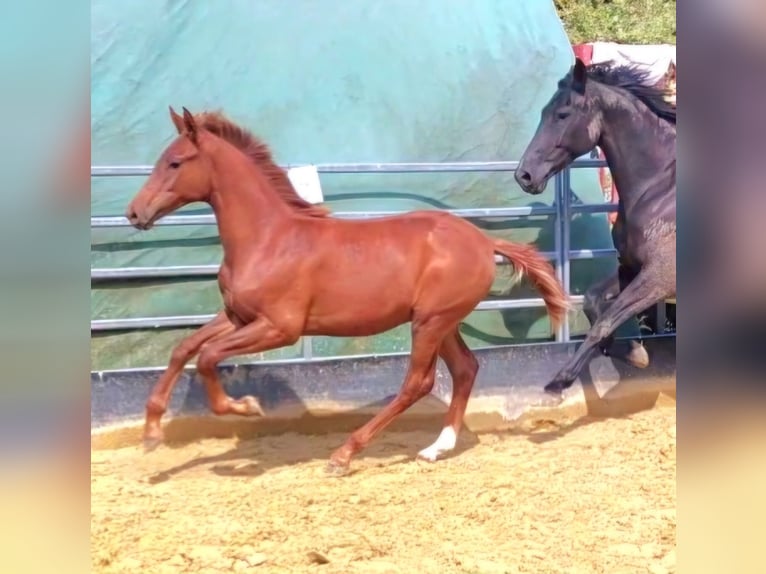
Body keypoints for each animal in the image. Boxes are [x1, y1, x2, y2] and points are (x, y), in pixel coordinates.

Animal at [516, 60, 680, 398]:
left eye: (562, 114)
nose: (524, 175)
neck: (661, 191)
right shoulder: (631, 266)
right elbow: (595, 304)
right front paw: (632, 350)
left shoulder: (661, 277)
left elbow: (606, 320)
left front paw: (560, 380)